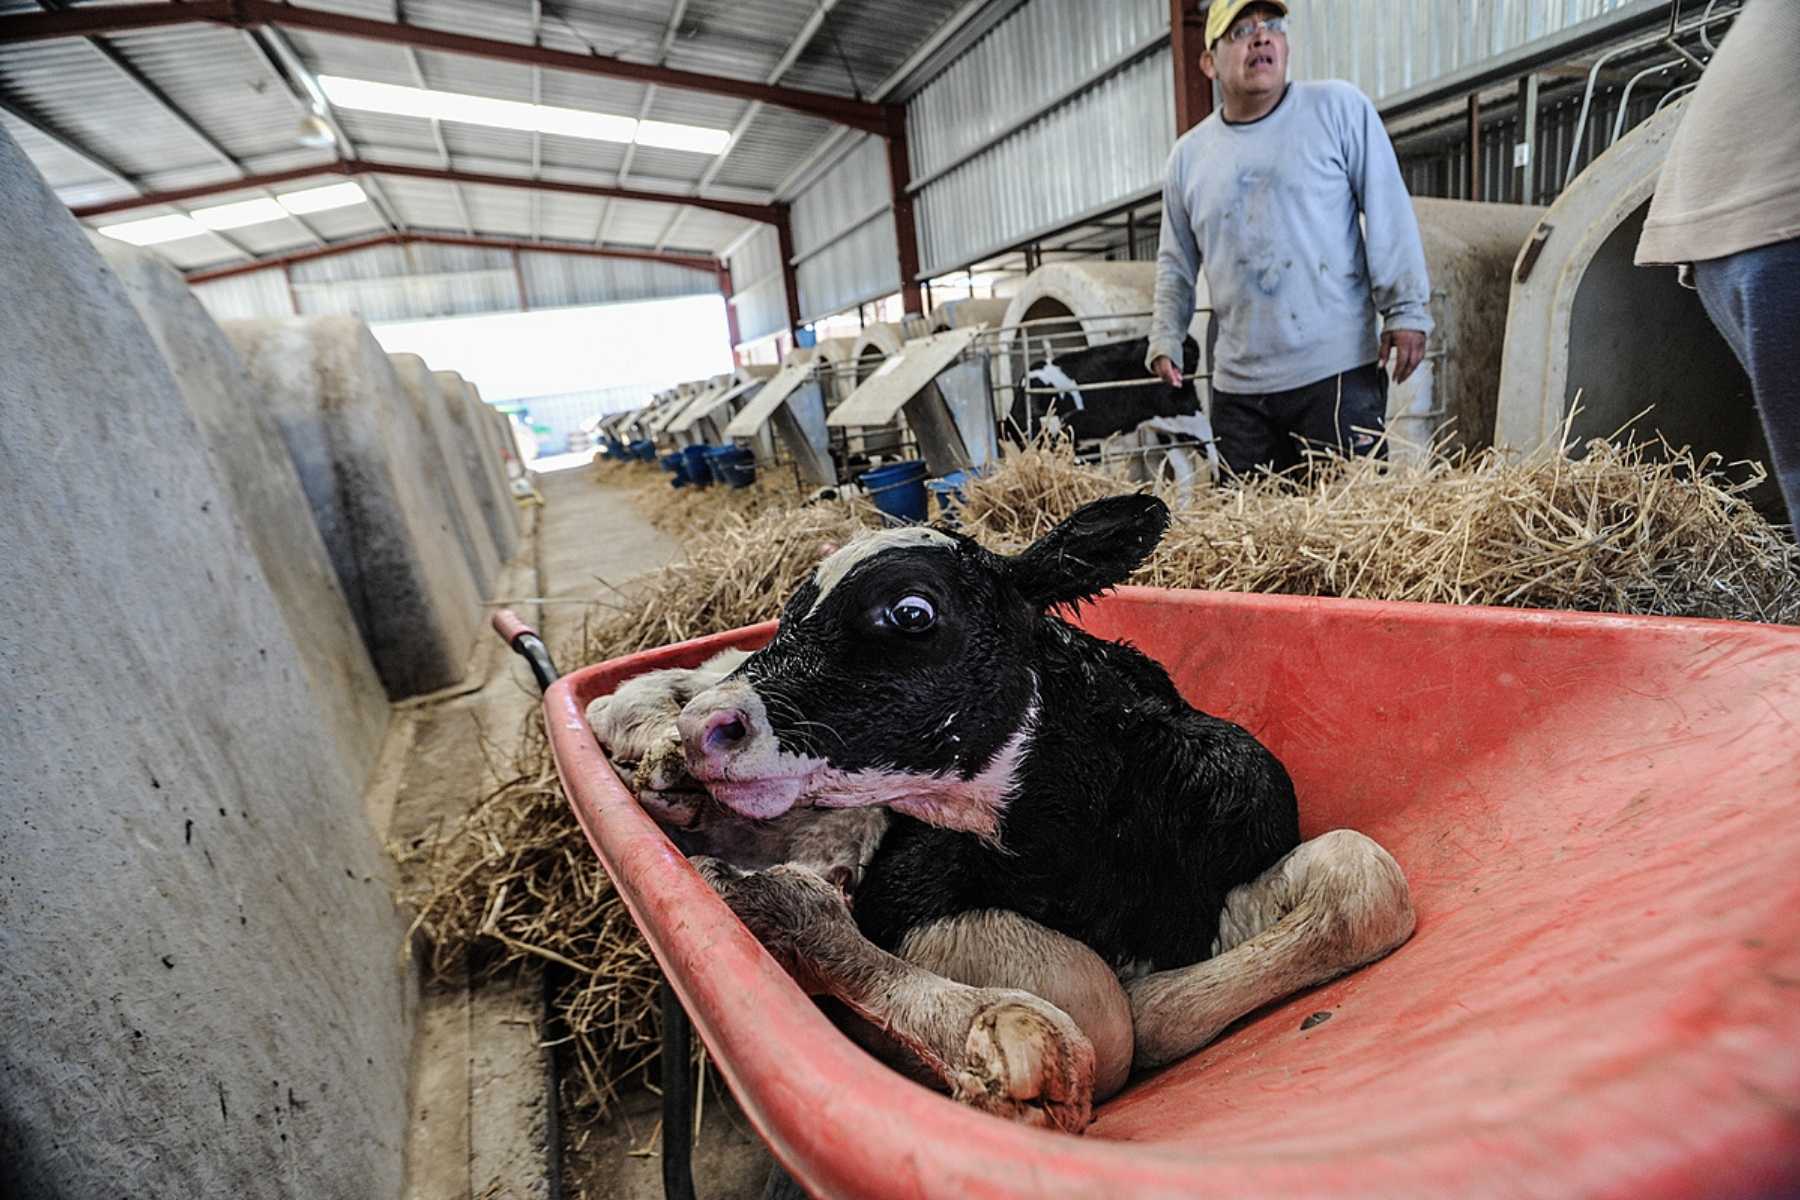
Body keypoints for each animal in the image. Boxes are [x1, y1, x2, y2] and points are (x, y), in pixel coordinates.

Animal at [597, 500, 1411, 1137]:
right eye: (791, 615)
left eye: (912, 612)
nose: (709, 730)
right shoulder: (913, 899)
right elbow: (1097, 1008)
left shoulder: (1235, 844)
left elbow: (1365, 875)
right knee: (670, 684)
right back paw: (653, 742)